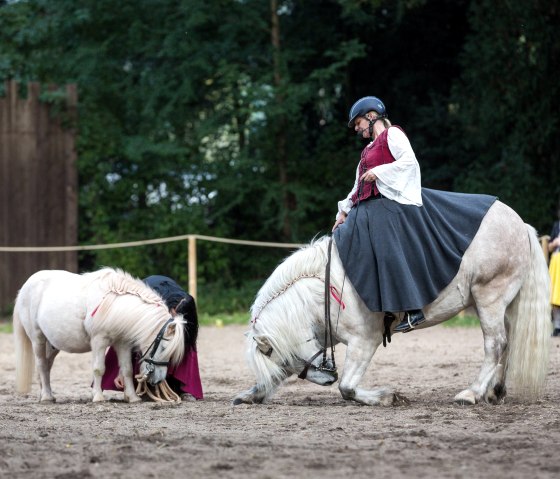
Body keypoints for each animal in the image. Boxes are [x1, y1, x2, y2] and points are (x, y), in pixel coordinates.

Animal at [234, 201, 552, 406]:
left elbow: (347, 387)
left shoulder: (365, 340)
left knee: (495, 344)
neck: (324, 287)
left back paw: (472, 393)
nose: (325, 378)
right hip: (499, 305)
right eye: (283, 361)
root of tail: (519, 223)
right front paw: (252, 395)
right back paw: (494, 391)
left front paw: (387, 397)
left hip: (490, 298)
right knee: (507, 343)